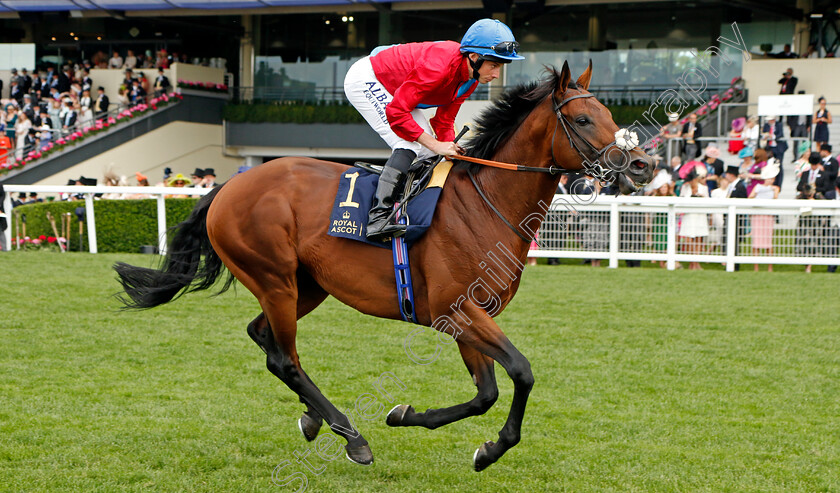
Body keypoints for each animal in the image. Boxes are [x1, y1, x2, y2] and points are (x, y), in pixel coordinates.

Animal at [115, 63, 652, 470]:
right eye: (582, 119)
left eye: (608, 113)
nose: (642, 165)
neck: (485, 204)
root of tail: (230, 183)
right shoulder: (457, 311)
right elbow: (521, 373)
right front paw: (491, 447)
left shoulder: (468, 316)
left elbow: (485, 393)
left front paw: (411, 417)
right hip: (274, 279)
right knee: (284, 357)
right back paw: (351, 436)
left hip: (305, 285)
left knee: (263, 337)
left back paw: (315, 418)